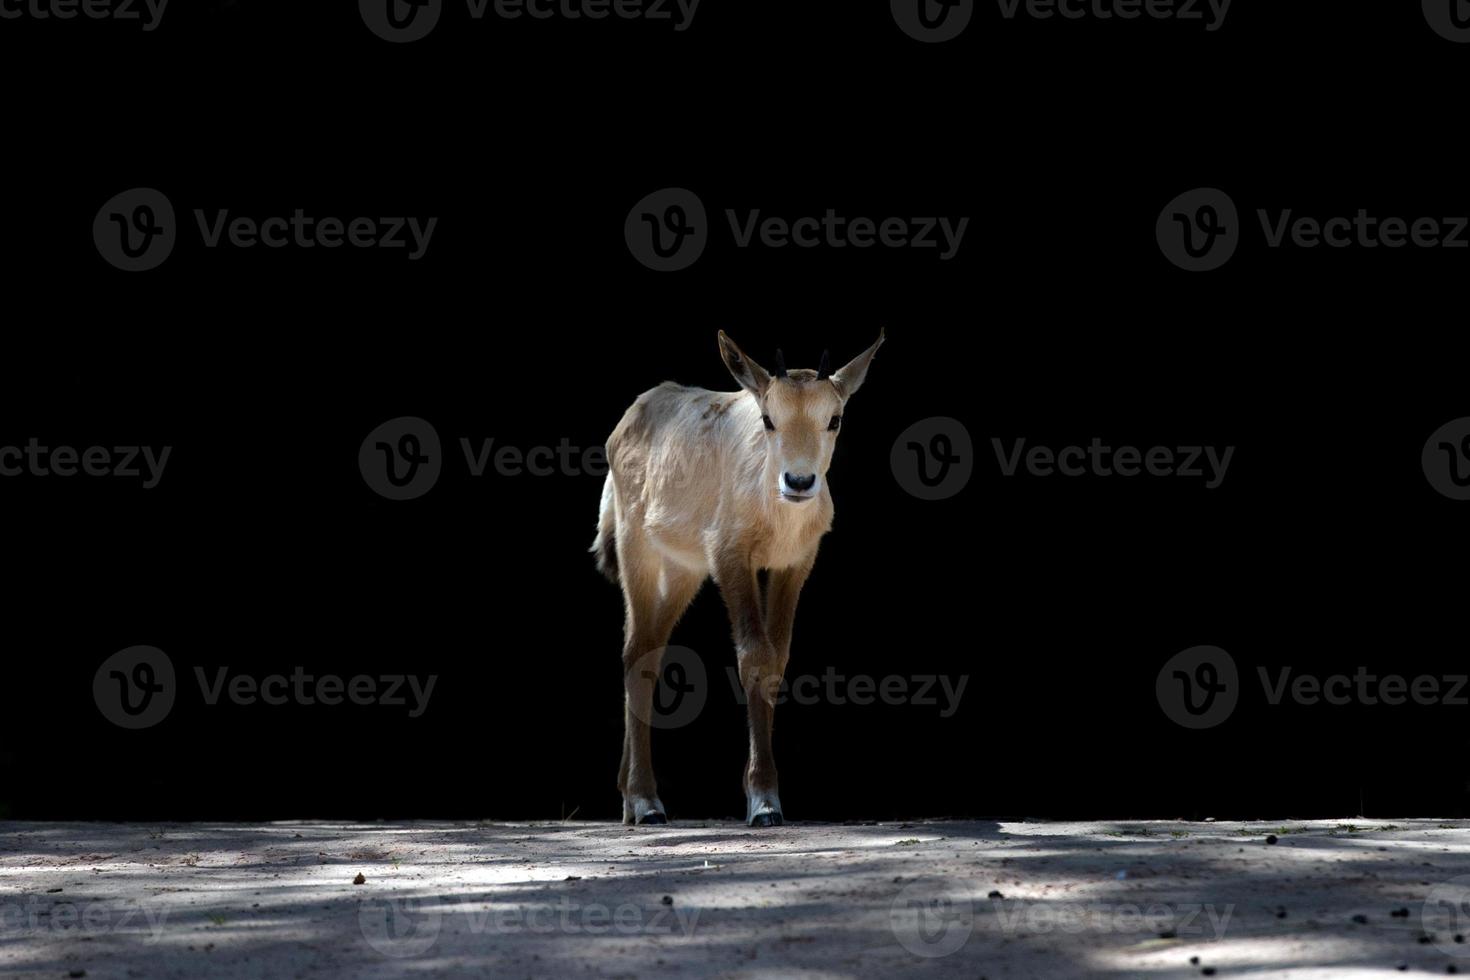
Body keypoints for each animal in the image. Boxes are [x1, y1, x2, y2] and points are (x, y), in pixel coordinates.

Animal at [588, 329, 882, 828]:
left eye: (834, 419)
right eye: (768, 418)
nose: (799, 482)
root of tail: (633, 417)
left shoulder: (793, 563)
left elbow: (777, 659)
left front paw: (766, 794)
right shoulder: (730, 559)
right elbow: (753, 657)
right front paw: (763, 801)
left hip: (684, 571)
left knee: (649, 645)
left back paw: (628, 795)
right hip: (637, 549)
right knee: (637, 652)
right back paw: (646, 802)